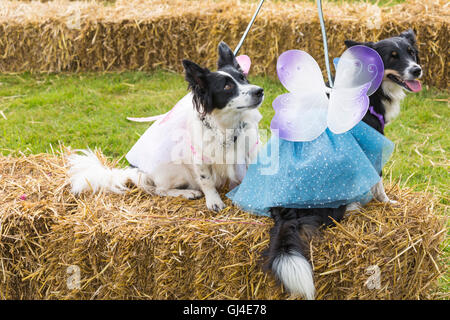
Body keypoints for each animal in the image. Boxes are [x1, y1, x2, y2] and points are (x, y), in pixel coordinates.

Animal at [264, 30, 422, 300]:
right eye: (392, 57)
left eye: (411, 52)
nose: (417, 70)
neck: (371, 90)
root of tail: (286, 214)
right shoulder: (372, 145)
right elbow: (378, 181)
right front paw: (387, 203)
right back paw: (354, 206)